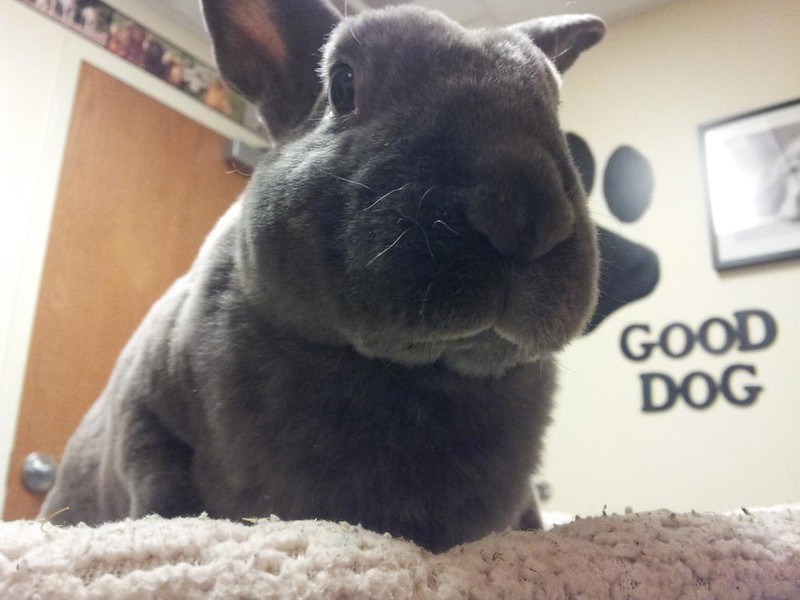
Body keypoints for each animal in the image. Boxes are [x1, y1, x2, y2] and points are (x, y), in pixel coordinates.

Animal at [39, 0, 604, 553]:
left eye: (552, 107)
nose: (524, 215)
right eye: (343, 84)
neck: (414, 374)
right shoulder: (146, 426)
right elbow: (167, 503)